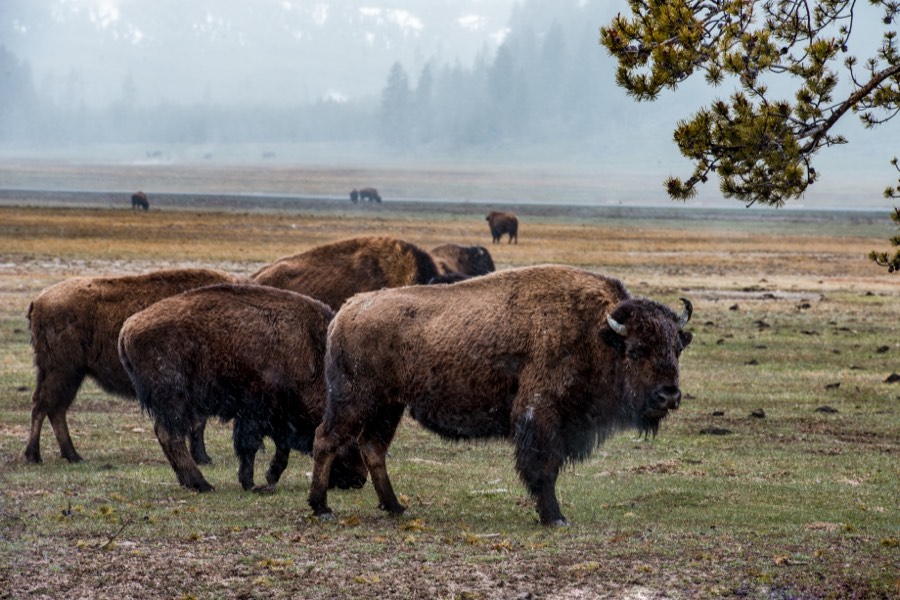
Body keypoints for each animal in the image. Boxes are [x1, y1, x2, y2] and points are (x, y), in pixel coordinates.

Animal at [24, 268, 236, 465]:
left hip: (64, 374)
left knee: (53, 408)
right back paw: (36, 456)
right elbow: (199, 423)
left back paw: (71, 456)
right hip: (63, 371)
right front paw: (203, 458)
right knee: (44, 406)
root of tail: (38, 301)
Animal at [118, 284, 367, 493]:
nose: (359, 480)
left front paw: (268, 478)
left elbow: (280, 450)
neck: (309, 353)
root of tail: (128, 327)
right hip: (175, 401)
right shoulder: (256, 414)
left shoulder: (276, 418)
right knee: (170, 435)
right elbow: (250, 447)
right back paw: (202, 484)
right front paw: (253, 484)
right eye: (351, 440)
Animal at [308, 264, 692, 526]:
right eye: (638, 350)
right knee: (326, 439)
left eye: (677, 348)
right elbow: (544, 468)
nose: (669, 395)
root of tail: (347, 310)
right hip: (354, 401)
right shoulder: (540, 414)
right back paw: (321, 507)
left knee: (373, 448)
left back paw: (396, 507)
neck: (595, 333)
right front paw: (554, 517)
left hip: (389, 406)